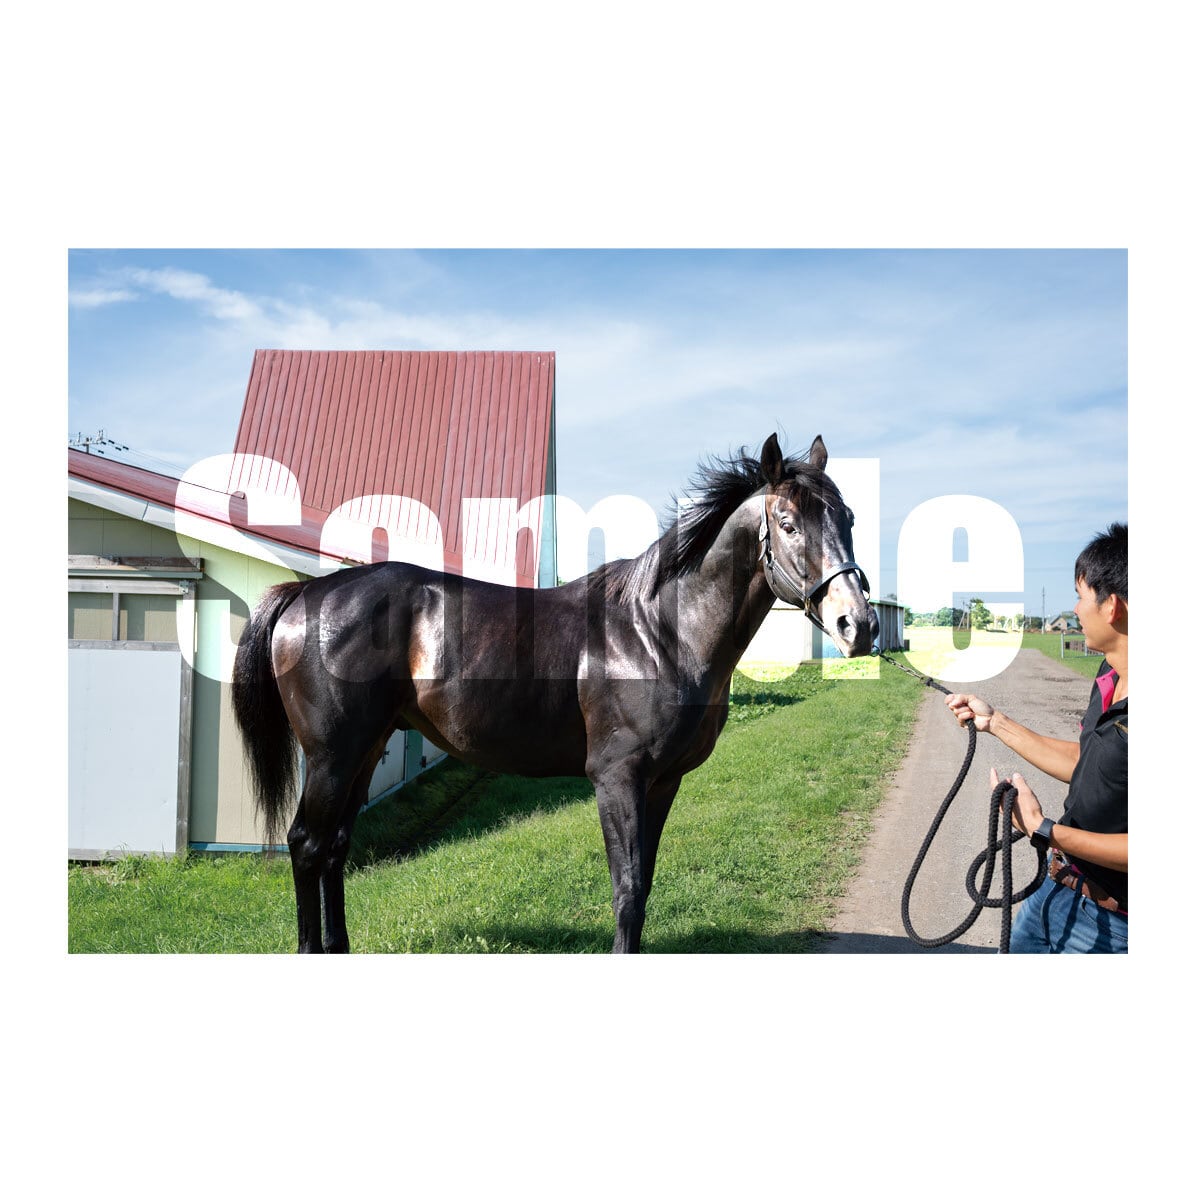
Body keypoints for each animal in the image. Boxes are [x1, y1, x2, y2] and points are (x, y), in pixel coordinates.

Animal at [231, 433, 877, 952]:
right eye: (788, 524)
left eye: (846, 518)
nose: (860, 625)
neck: (658, 631)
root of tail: (307, 592)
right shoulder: (616, 778)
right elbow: (628, 890)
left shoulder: (663, 781)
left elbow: (645, 883)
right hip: (332, 756)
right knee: (308, 845)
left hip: (365, 750)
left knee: (335, 847)